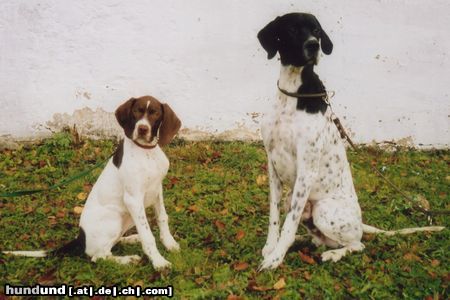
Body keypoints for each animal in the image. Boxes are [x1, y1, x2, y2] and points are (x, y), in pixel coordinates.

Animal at [3, 96, 181, 270]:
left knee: (110, 245)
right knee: (98, 256)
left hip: (127, 217)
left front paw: (169, 243)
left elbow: (162, 217)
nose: (142, 129)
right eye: (137, 111)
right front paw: (159, 262)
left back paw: (131, 239)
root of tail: (80, 239)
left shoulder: (157, 190)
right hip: (116, 218)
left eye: (155, 113)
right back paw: (128, 259)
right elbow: (147, 235)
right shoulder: (133, 199)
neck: (147, 152)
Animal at [256, 12, 442, 270]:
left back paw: (332, 253)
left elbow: (289, 225)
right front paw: (270, 248)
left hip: (323, 208)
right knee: (320, 238)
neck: (293, 94)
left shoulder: (306, 170)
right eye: (292, 29)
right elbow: (275, 218)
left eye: (316, 30)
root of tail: (360, 223)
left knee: (357, 244)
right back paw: (305, 241)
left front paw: (275, 258)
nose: (313, 45)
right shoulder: (272, 166)